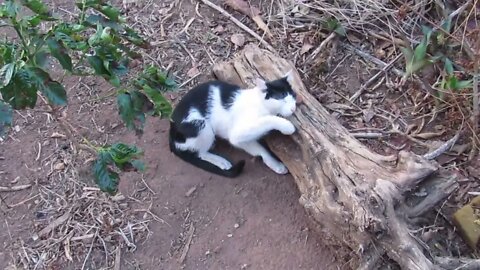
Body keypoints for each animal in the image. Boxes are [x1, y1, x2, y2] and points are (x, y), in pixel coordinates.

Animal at [168, 70, 296, 178]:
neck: (261, 104)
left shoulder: (239, 139)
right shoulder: (238, 132)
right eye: (282, 97)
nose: (293, 108)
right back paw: (221, 161)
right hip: (201, 125)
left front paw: (275, 165)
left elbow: (259, 149)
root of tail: (171, 127)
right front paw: (287, 126)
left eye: (293, 96)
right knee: (200, 153)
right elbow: (268, 119)